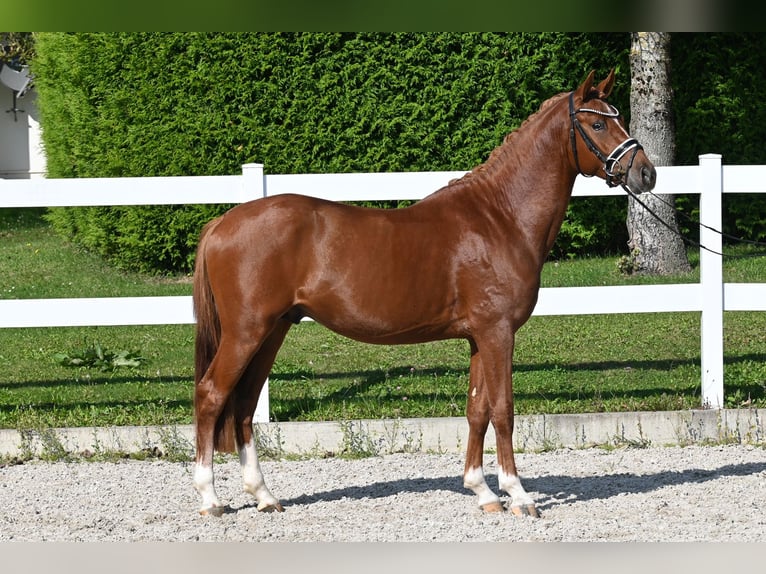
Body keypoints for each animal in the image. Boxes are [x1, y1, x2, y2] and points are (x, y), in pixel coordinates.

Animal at [194, 71, 660, 516]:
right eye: (597, 123)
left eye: (620, 118)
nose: (647, 173)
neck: (500, 217)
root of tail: (220, 224)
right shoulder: (498, 333)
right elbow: (504, 410)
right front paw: (518, 495)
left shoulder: (479, 337)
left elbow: (477, 411)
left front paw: (482, 491)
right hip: (246, 332)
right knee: (212, 395)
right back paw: (210, 499)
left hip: (273, 331)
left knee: (245, 404)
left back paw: (264, 496)